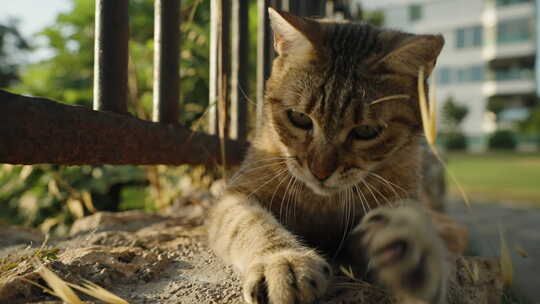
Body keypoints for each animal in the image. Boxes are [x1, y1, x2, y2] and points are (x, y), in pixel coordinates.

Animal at [207, 7, 448, 304]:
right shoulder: (237, 195)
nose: (320, 171)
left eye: (366, 131)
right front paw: (283, 261)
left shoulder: (401, 192)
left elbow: (409, 216)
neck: (321, 203)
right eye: (299, 118)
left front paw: (415, 256)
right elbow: (251, 223)